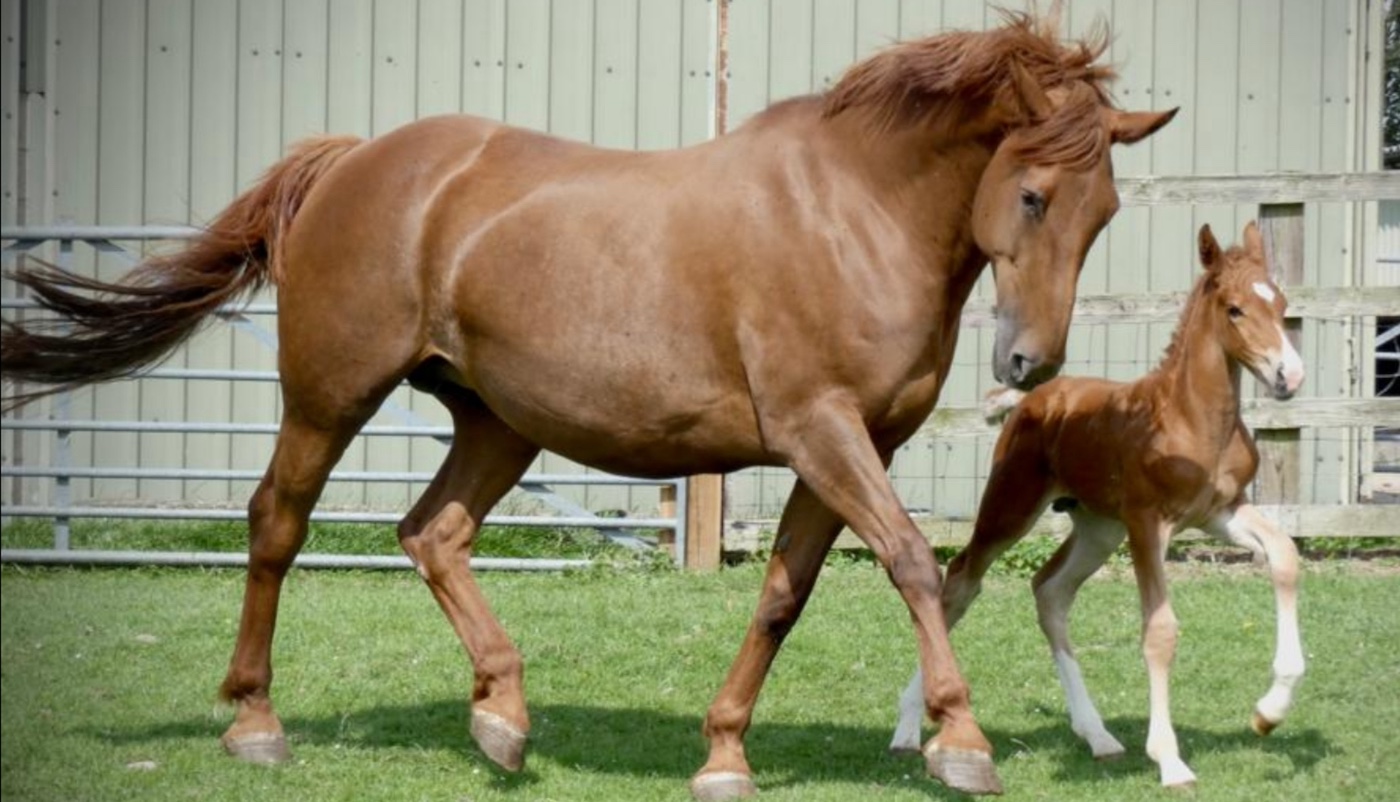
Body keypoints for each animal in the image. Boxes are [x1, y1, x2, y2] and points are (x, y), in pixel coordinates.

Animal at [0, 10, 1175, 799]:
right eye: (1032, 194)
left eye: (1105, 212)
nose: (1029, 362)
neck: (849, 212)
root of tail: (351, 164)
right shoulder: (821, 431)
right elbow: (911, 564)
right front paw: (959, 740)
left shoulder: (846, 447)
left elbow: (783, 594)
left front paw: (723, 751)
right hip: (329, 398)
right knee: (276, 526)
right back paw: (256, 719)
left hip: (495, 422)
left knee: (432, 535)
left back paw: (503, 716)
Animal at [889, 221, 1306, 789]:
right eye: (1235, 309)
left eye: (1281, 303)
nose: (1290, 376)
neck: (1192, 417)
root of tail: (1030, 401)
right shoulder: (1148, 522)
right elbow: (1160, 630)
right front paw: (1170, 760)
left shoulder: (1220, 512)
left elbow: (1284, 554)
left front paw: (1270, 711)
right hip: (1013, 506)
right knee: (961, 581)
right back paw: (909, 728)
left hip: (1096, 527)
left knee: (1050, 592)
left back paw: (1099, 735)